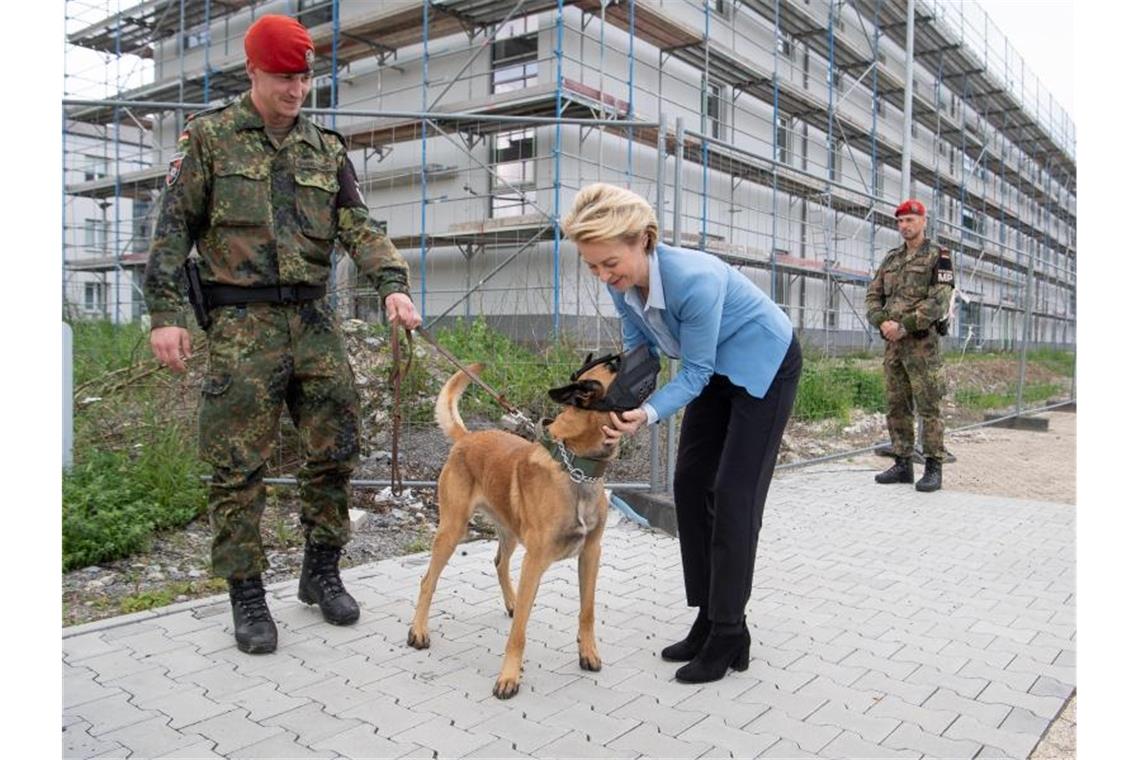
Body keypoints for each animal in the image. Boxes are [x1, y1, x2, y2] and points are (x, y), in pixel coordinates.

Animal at [408, 353, 642, 697]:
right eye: (615, 365)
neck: (576, 469)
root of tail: (467, 437)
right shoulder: (535, 562)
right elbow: (518, 633)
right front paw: (509, 676)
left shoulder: (591, 555)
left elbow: (587, 611)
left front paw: (587, 652)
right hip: (452, 530)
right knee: (428, 580)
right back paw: (418, 630)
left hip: (510, 531)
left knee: (499, 562)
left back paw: (512, 602)